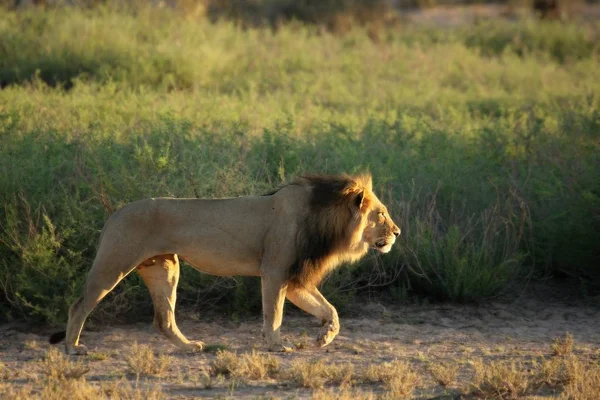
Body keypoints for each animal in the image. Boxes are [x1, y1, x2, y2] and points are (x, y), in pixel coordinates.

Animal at [49, 173, 400, 354]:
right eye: (381, 214)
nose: (397, 232)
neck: (324, 220)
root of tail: (115, 213)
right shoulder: (275, 271)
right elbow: (273, 314)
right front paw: (276, 346)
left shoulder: (293, 278)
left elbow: (330, 310)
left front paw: (324, 337)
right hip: (114, 264)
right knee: (79, 305)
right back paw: (72, 347)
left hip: (165, 269)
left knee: (164, 319)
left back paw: (189, 346)